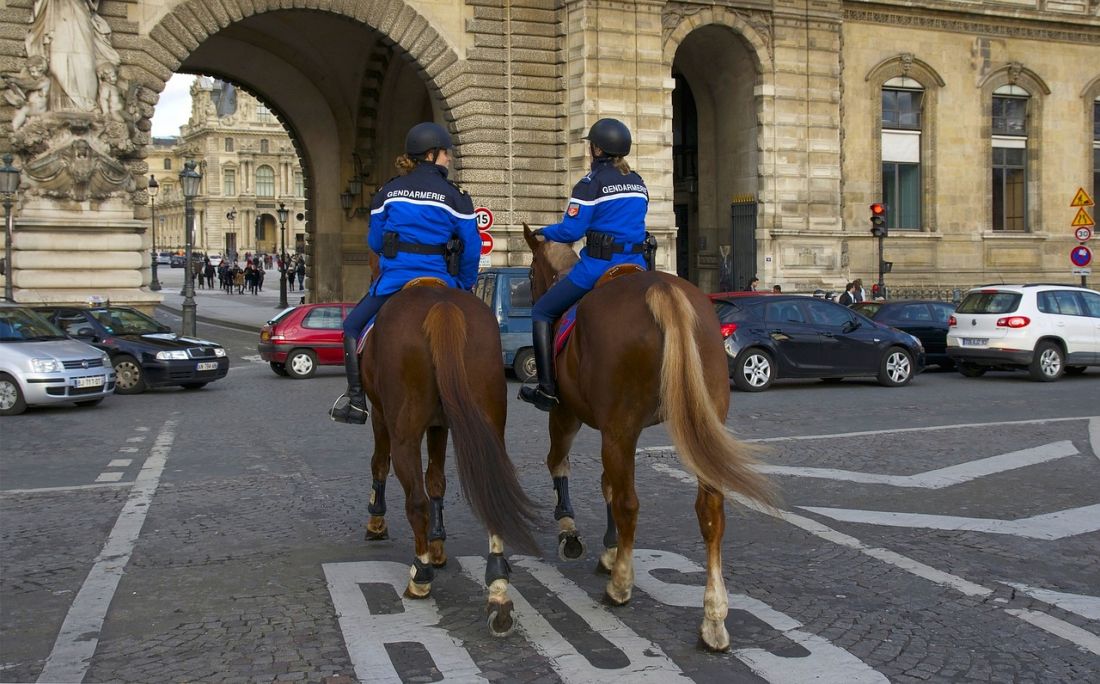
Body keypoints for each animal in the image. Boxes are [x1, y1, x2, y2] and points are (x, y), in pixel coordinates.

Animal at [358, 283, 539, 637]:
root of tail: (441, 306)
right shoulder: (440, 424)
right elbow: (437, 479)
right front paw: (438, 544)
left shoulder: (381, 415)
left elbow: (380, 464)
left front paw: (377, 522)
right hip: (488, 422)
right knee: (490, 493)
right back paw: (498, 592)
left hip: (404, 432)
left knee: (415, 500)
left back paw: (420, 577)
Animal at [521, 226, 774, 655]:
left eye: (529, 271)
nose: (533, 299)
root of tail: (661, 289)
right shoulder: (616, 429)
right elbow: (606, 483)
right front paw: (608, 548)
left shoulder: (570, 414)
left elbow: (562, 464)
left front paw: (572, 532)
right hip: (697, 424)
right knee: (711, 513)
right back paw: (713, 619)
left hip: (616, 426)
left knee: (629, 503)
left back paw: (621, 586)